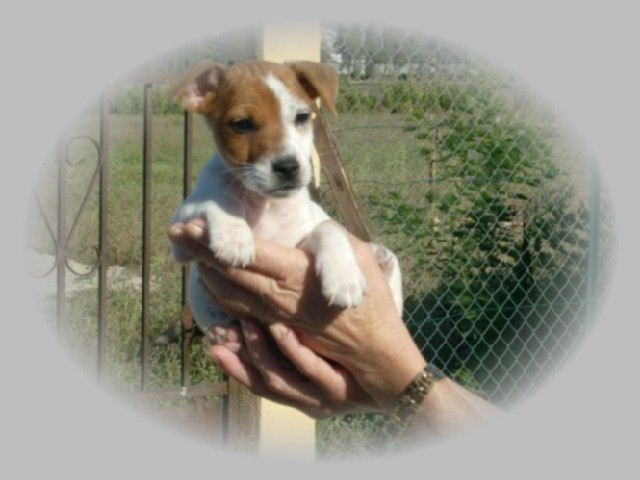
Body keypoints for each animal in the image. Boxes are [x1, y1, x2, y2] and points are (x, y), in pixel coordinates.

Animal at [168, 60, 402, 334]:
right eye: (241, 124)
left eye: (302, 117)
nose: (288, 167)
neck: (268, 204)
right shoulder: (179, 240)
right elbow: (217, 198)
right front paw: (233, 235)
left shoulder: (299, 243)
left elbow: (328, 227)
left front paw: (344, 278)